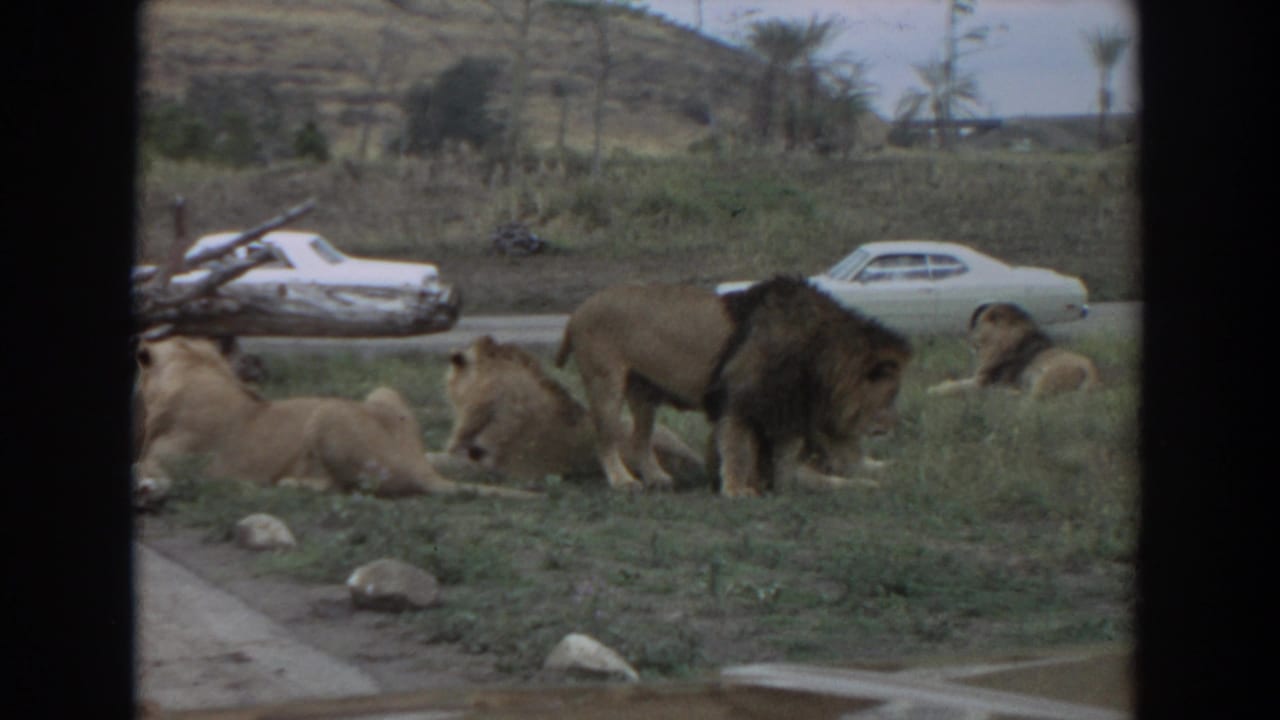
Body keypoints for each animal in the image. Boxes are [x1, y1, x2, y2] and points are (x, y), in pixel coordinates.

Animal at [133, 336, 537, 504]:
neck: (194, 367)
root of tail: (421, 466)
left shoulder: (178, 464)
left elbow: (145, 466)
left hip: (328, 413)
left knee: (348, 488)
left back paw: (287, 484)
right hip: (382, 392)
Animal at [554, 277, 912, 496]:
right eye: (891, 394)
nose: (895, 427)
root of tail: (577, 311)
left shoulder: (785, 415)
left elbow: (796, 465)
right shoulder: (739, 399)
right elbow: (737, 448)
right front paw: (737, 490)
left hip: (644, 394)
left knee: (640, 440)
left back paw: (657, 479)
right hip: (605, 383)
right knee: (606, 439)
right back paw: (622, 481)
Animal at [926, 302, 1100, 398]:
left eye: (977, 325)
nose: (968, 340)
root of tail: (1093, 373)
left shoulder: (982, 381)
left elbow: (957, 386)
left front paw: (933, 390)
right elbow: (956, 382)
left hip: (1046, 378)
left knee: (1028, 400)